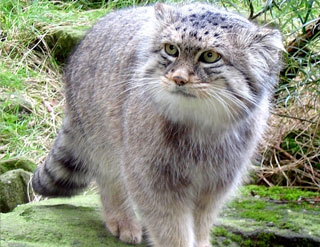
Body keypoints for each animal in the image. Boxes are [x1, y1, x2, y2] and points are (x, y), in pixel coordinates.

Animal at [32, 2, 282, 247]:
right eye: (171, 49)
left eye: (210, 56)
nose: (178, 78)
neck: (200, 129)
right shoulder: (152, 177)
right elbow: (170, 228)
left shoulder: (216, 182)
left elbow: (201, 222)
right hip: (103, 137)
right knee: (109, 180)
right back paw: (122, 221)